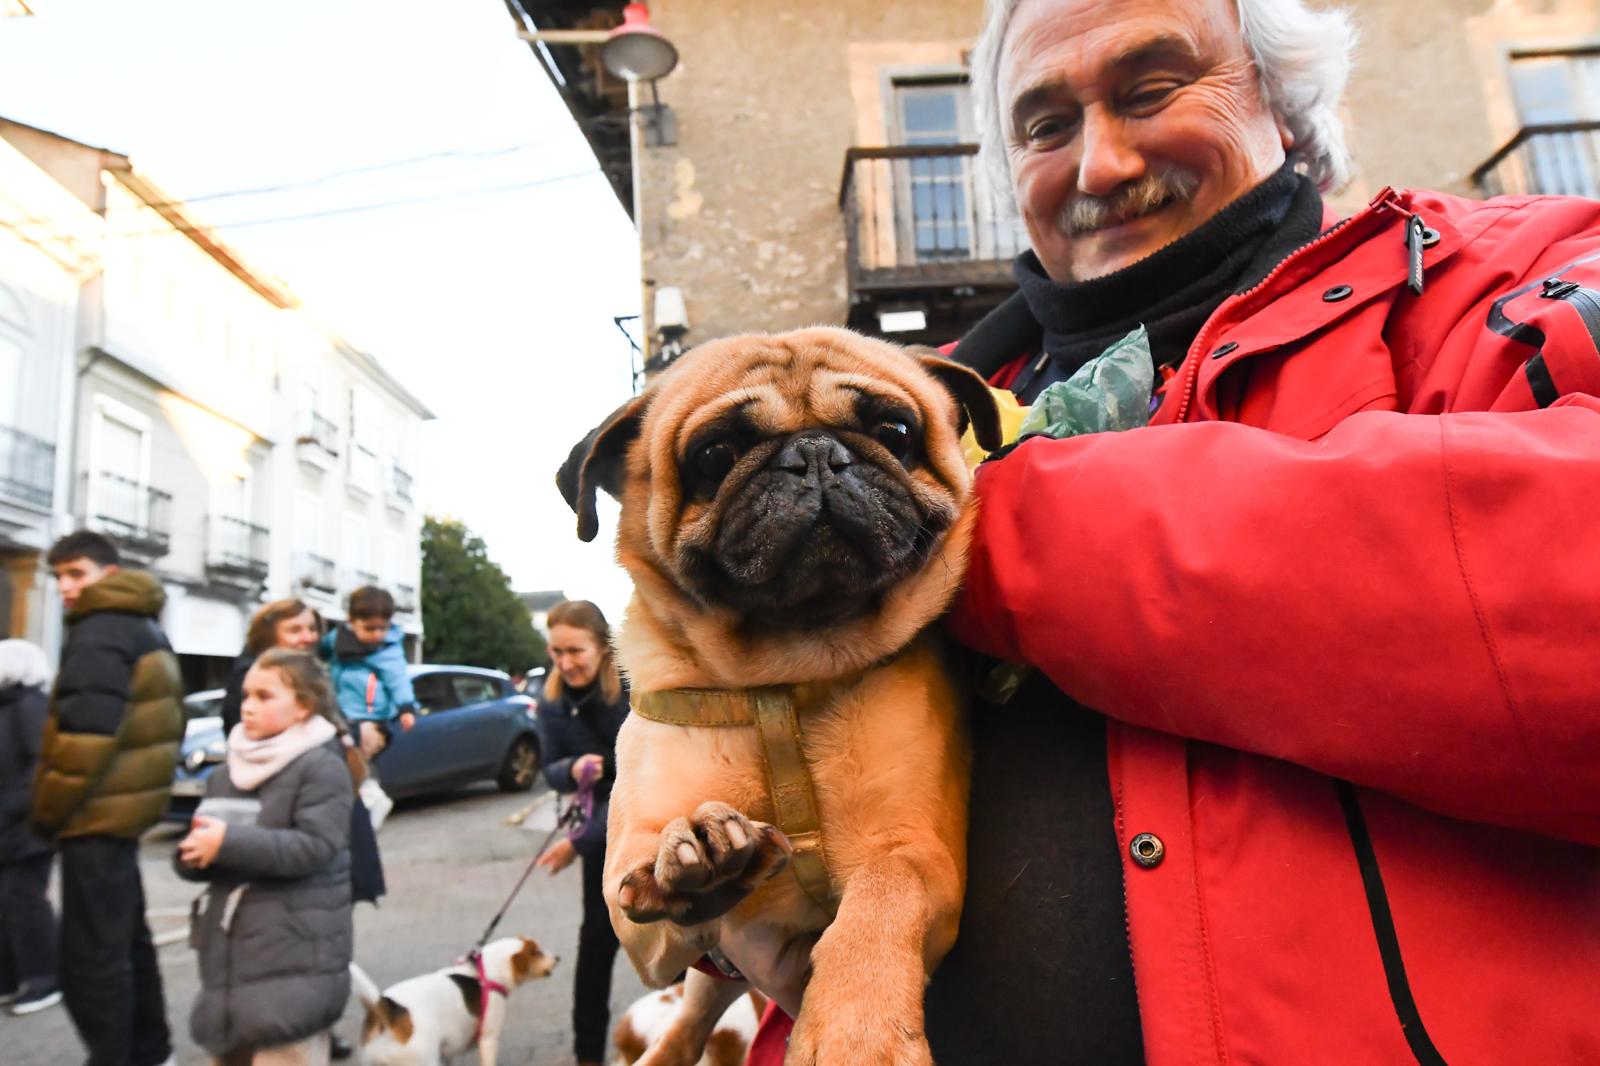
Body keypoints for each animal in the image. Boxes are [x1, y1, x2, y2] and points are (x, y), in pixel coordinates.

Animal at [350, 934, 556, 1062]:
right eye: (537, 952)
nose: (558, 958)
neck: (485, 972)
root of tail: (386, 1009)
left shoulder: (447, 1051)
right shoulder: (488, 1039)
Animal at [556, 326, 992, 1062]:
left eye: (896, 431)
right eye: (716, 455)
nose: (815, 452)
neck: (779, 683)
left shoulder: (916, 853)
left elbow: (882, 899)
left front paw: (856, 1034)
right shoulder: (639, 915)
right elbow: (640, 884)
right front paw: (698, 854)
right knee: (692, 1015)